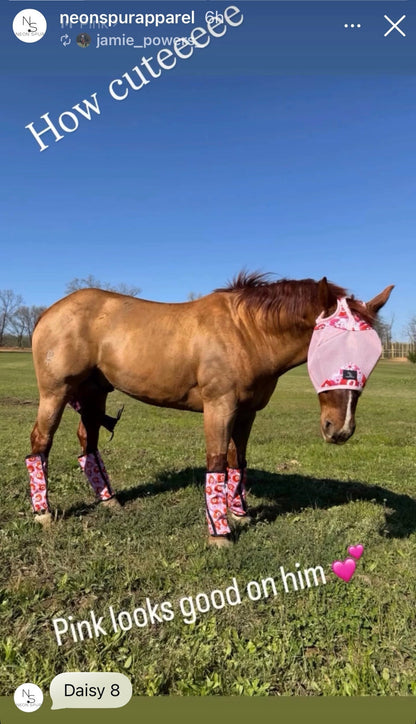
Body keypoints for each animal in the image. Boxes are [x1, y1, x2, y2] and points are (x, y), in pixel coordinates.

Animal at [26, 273, 393, 546]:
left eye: (373, 354)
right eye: (325, 348)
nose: (340, 428)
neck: (246, 332)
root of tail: (49, 312)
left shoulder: (246, 411)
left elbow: (236, 461)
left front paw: (239, 513)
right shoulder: (220, 406)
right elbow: (216, 462)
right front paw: (220, 533)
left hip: (94, 393)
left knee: (87, 441)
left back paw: (108, 500)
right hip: (55, 393)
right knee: (40, 443)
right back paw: (43, 513)